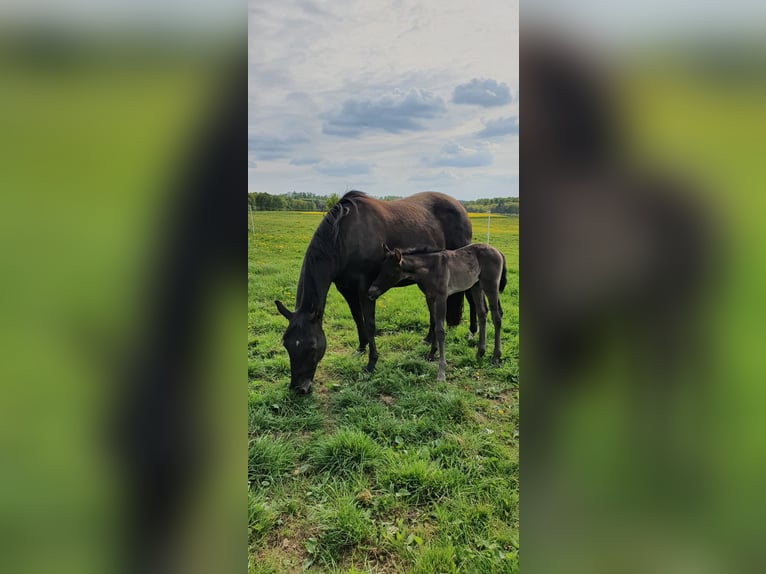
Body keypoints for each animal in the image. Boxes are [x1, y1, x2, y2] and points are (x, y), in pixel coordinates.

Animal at [274, 190, 476, 394]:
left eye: (312, 346)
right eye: (286, 344)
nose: (298, 388)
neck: (345, 237)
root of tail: (459, 206)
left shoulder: (366, 289)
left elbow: (370, 324)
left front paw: (371, 363)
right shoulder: (346, 290)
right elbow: (358, 319)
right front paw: (361, 348)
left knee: (472, 296)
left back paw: (472, 333)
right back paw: (428, 338)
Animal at [367, 243, 507, 382]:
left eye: (391, 273)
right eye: (380, 269)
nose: (370, 293)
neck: (430, 269)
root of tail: (498, 251)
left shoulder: (441, 298)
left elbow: (440, 330)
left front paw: (441, 372)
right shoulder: (429, 297)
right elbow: (434, 323)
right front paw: (431, 354)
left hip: (490, 286)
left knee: (496, 317)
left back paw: (496, 357)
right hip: (476, 286)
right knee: (482, 313)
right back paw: (480, 352)